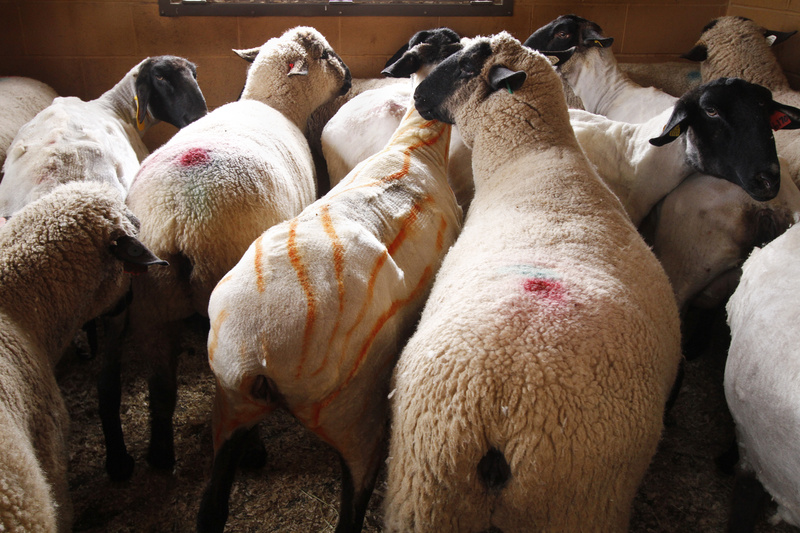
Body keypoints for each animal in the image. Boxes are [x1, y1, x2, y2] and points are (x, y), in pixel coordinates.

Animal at [97, 26, 352, 482]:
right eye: (325, 54)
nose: (350, 76)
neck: (272, 104)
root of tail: (179, 221)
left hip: (152, 301)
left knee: (161, 387)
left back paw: (160, 456)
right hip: (223, 295)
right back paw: (252, 452)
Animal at [196, 39, 462, 532]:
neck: (415, 149)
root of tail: (257, 356)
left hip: (228, 402)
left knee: (211, 507)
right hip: (351, 414)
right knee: (352, 504)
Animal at [382, 31, 681, 532]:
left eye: (465, 65)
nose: (418, 96)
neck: (533, 157)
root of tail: (499, 408)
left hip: (534, 500)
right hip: (435, 493)